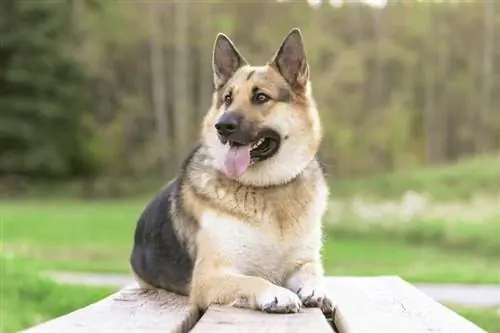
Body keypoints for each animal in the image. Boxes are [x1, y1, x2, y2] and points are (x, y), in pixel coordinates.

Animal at [130, 27, 332, 314]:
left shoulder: (303, 262)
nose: (222, 126)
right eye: (228, 99)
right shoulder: (210, 277)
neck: (268, 189)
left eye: (261, 97)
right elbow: (253, 280)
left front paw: (318, 290)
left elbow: (314, 274)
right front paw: (277, 294)